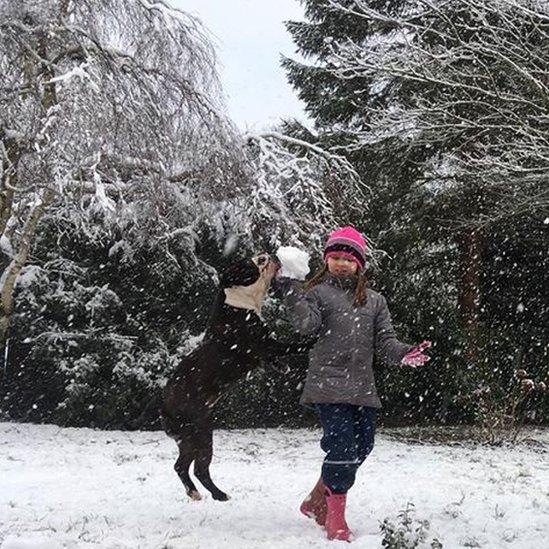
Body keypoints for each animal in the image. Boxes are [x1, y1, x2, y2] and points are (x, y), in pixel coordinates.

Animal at [163, 253, 298, 500]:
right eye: (256, 262)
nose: (268, 254)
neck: (236, 302)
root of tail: (163, 407)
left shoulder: (265, 351)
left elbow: (275, 359)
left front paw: (282, 367)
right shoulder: (266, 343)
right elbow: (294, 345)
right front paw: (314, 338)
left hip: (188, 439)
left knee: (181, 466)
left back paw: (195, 492)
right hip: (201, 435)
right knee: (199, 468)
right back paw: (218, 494)